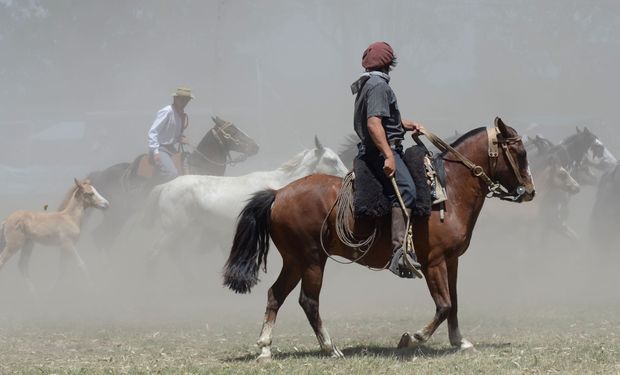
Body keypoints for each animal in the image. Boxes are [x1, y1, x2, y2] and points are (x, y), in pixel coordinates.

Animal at [86, 116, 258, 254]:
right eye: (232, 131)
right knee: (101, 238)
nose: (255, 146)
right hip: (117, 215)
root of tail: (99, 174)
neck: (199, 167)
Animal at [225, 118, 536, 362]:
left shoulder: (451, 261)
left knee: (275, 295)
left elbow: (454, 302)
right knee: (308, 301)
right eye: (519, 152)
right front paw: (412, 338)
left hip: (294, 261)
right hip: (312, 259)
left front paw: (460, 341)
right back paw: (330, 348)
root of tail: (278, 193)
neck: (448, 190)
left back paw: (265, 348)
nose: (531, 191)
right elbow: (444, 304)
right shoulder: (433, 262)